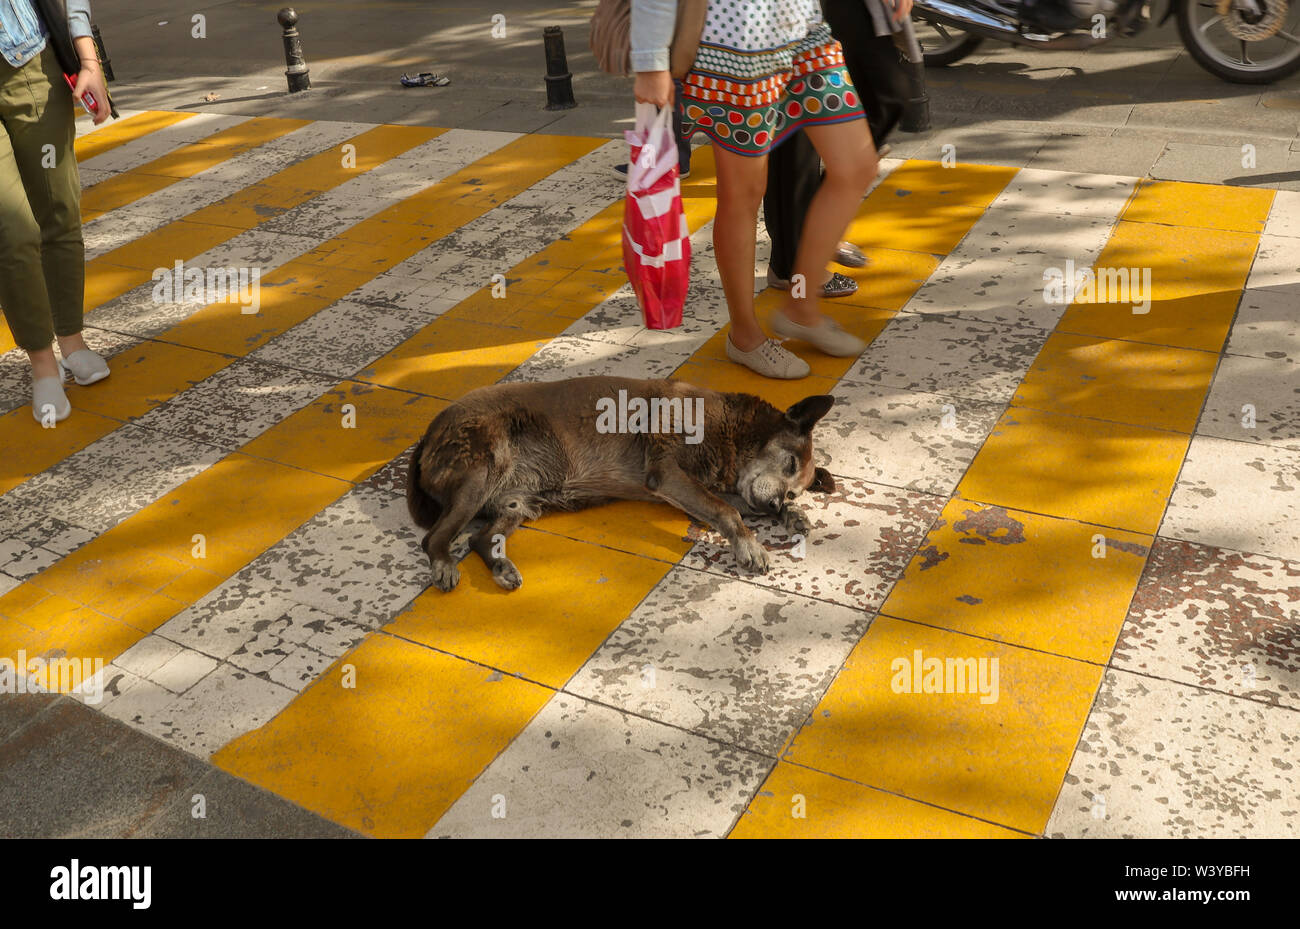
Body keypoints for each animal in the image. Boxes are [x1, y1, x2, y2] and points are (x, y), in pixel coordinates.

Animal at [403, 376, 832, 589]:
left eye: (794, 488)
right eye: (790, 462)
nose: (777, 503)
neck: (732, 431)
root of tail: (427, 434)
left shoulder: (705, 485)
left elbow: (735, 503)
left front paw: (792, 516)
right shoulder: (669, 474)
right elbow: (726, 510)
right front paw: (750, 544)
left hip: (517, 503)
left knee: (479, 538)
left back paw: (501, 567)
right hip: (481, 472)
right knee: (434, 538)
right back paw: (443, 565)